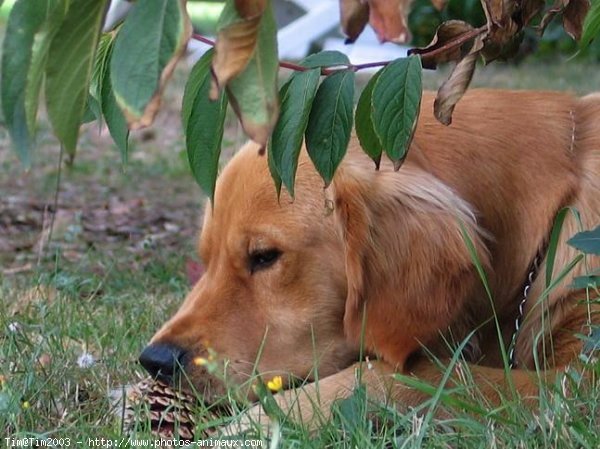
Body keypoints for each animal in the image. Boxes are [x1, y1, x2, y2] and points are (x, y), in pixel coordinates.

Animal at [139, 88, 600, 428]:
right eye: (206, 258)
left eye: (264, 256)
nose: (154, 361)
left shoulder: (578, 378)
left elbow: (417, 374)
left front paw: (264, 422)